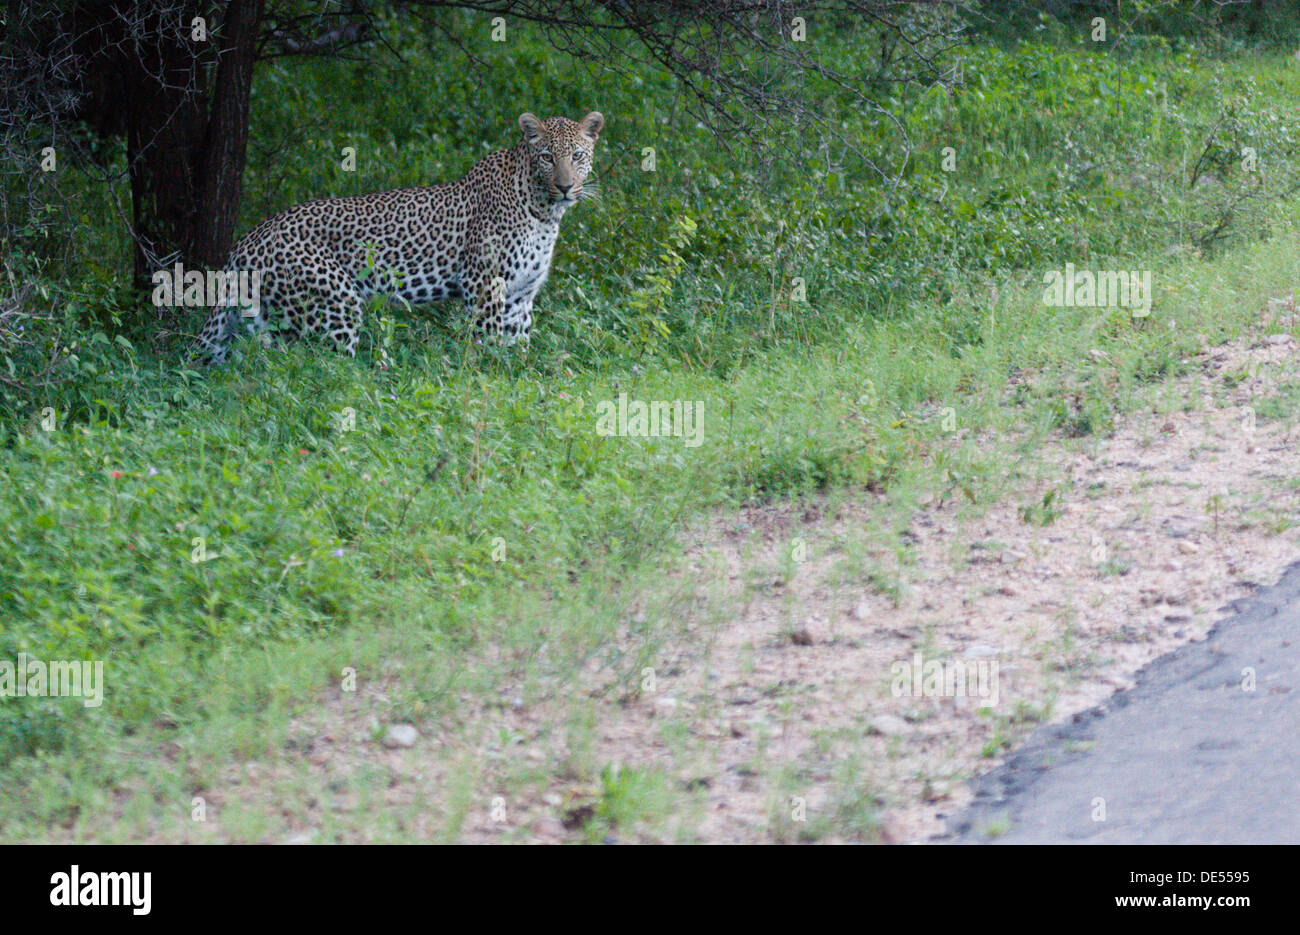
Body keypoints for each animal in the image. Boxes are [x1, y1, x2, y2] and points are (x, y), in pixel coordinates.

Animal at [193, 110, 605, 365]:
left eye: (578, 155)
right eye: (547, 157)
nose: (565, 187)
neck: (544, 212)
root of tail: (246, 243)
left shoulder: (520, 296)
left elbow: (516, 348)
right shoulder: (484, 285)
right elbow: (487, 343)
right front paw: (488, 378)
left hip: (260, 321)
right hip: (334, 306)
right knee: (315, 370)